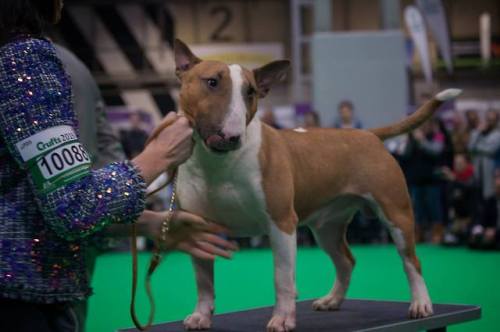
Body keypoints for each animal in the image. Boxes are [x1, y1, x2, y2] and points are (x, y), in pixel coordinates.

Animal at [171, 39, 460, 332]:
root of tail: (369, 134)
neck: (217, 163)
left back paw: (421, 304)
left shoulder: (282, 223)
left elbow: (283, 279)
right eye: (211, 82)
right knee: (346, 260)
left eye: (250, 92)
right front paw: (201, 316)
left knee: (411, 261)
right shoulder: (199, 229)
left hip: (397, 214)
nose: (231, 137)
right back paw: (332, 300)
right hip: (327, 227)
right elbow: (204, 282)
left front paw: (282, 319)